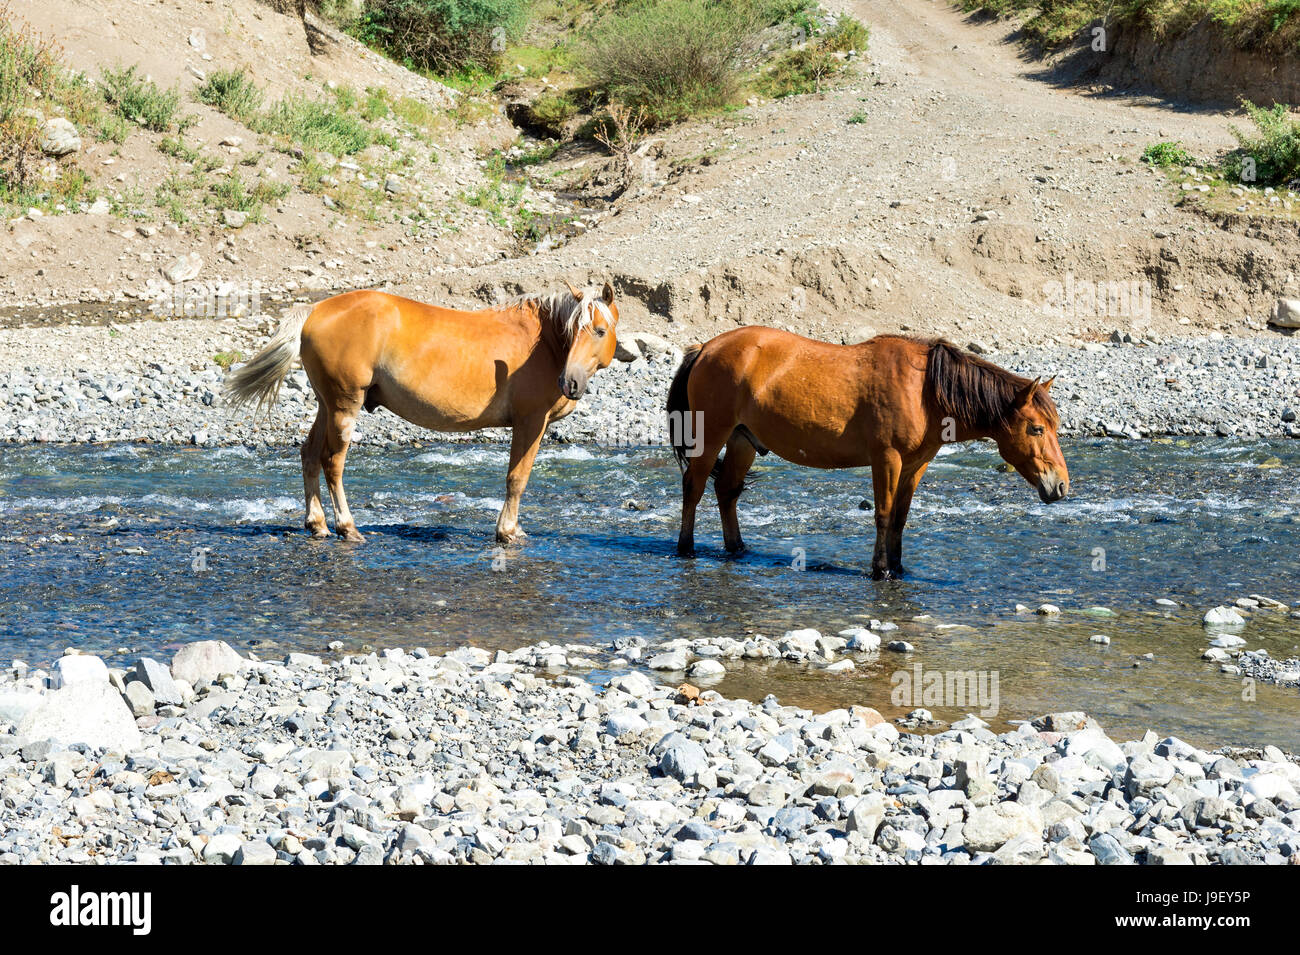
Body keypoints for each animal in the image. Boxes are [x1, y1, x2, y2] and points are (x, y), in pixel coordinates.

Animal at [227, 280, 618, 540]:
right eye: (577, 329)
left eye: (599, 330)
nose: (570, 382)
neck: (543, 343)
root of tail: (315, 310)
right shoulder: (530, 422)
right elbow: (516, 478)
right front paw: (507, 531)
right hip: (344, 406)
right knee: (331, 462)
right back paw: (347, 527)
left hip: (326, 405)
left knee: (309, 454)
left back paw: (317, 523)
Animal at [665, 328, 1071, 582]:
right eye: (1037, 428)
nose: (1061, 486)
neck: (924, 390)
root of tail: (705, 349)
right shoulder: (886, 459)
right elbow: (883, 515)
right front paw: (880, 570)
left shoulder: (915, 465)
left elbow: (900, 519)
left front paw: (898, 567)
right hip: (711, 437)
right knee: (693, 487)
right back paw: (686, 549)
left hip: (742, 441)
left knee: (726, 491)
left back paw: (737, 548)